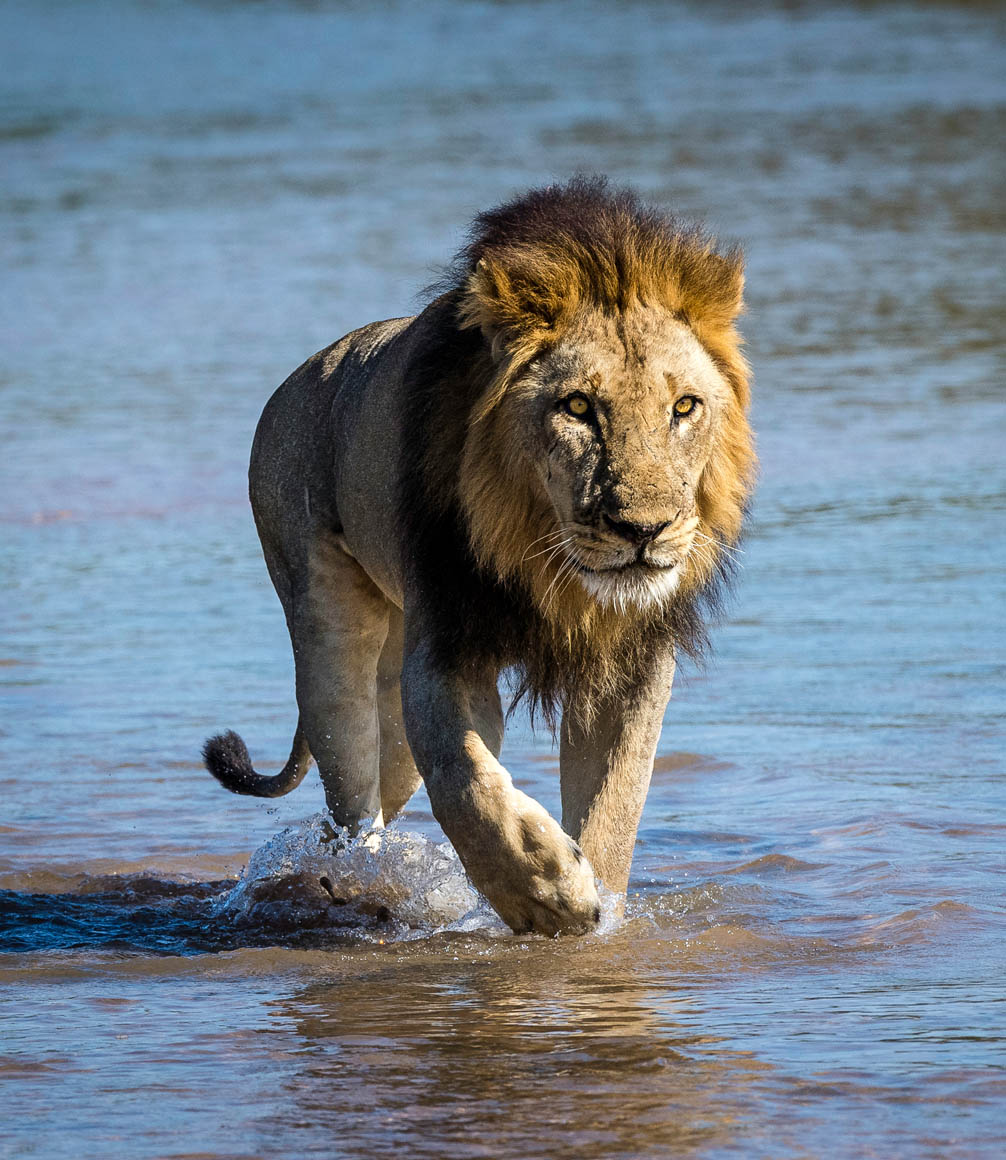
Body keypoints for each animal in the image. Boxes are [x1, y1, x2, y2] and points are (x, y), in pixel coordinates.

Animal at [203, 176, 756, 937]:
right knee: (351, 804)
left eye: (684, 407)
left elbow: (615, 804)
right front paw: (546, 892)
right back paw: (364, 885)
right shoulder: (447, 646)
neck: (552, 570)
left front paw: (599, 909)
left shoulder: (630, 662)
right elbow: (464, 777)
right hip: (326, 630)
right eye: (577, 407)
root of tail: (301, 374)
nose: (644, 530)